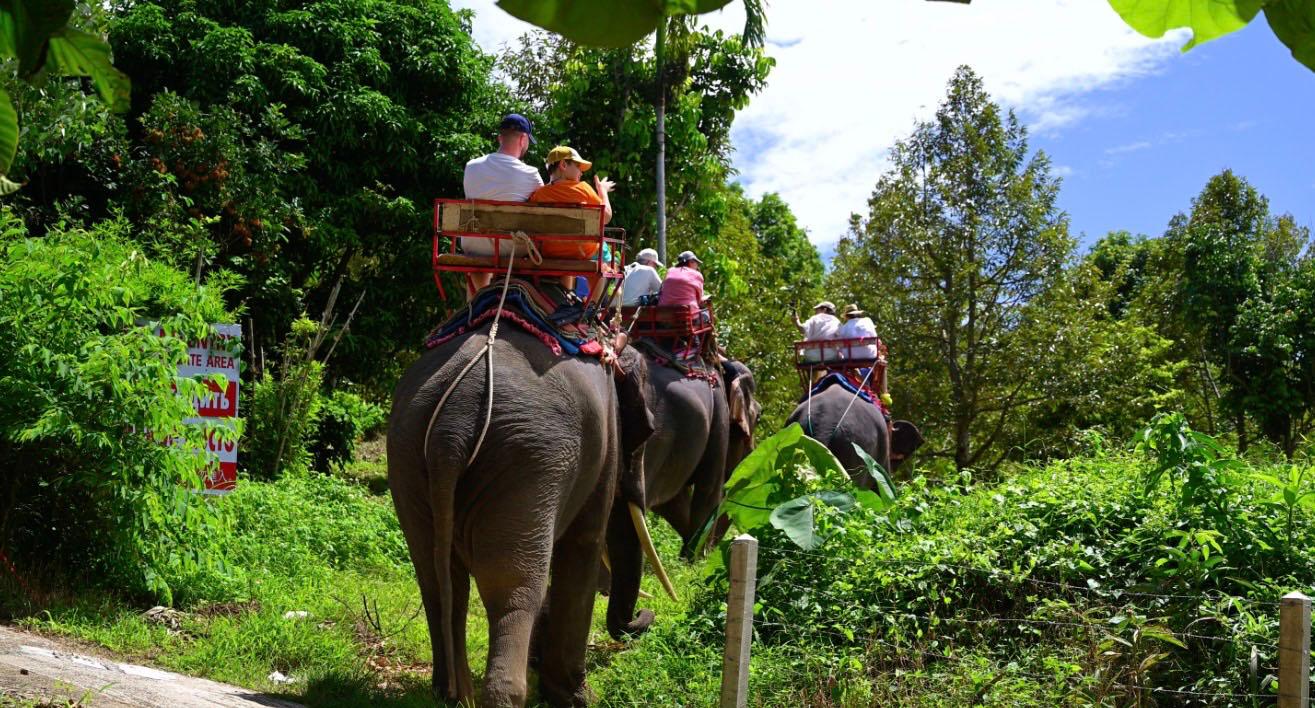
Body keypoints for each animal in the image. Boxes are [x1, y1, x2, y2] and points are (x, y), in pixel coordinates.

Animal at [387, 328, 658, 708]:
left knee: (438, 581)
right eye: (648, 431)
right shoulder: (604, 446)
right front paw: (578, 698)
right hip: (527, 463)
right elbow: (584, 544)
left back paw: (454, 697)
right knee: (513, 589)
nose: (646, 616)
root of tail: (450, 429)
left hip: (408, 456)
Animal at [605, 356, 760, 640]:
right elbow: (708, 491)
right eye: (759, 415)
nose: (646, 611)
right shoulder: (719, 419)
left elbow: (675, 505)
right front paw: (695, 562)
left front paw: (688, 561)